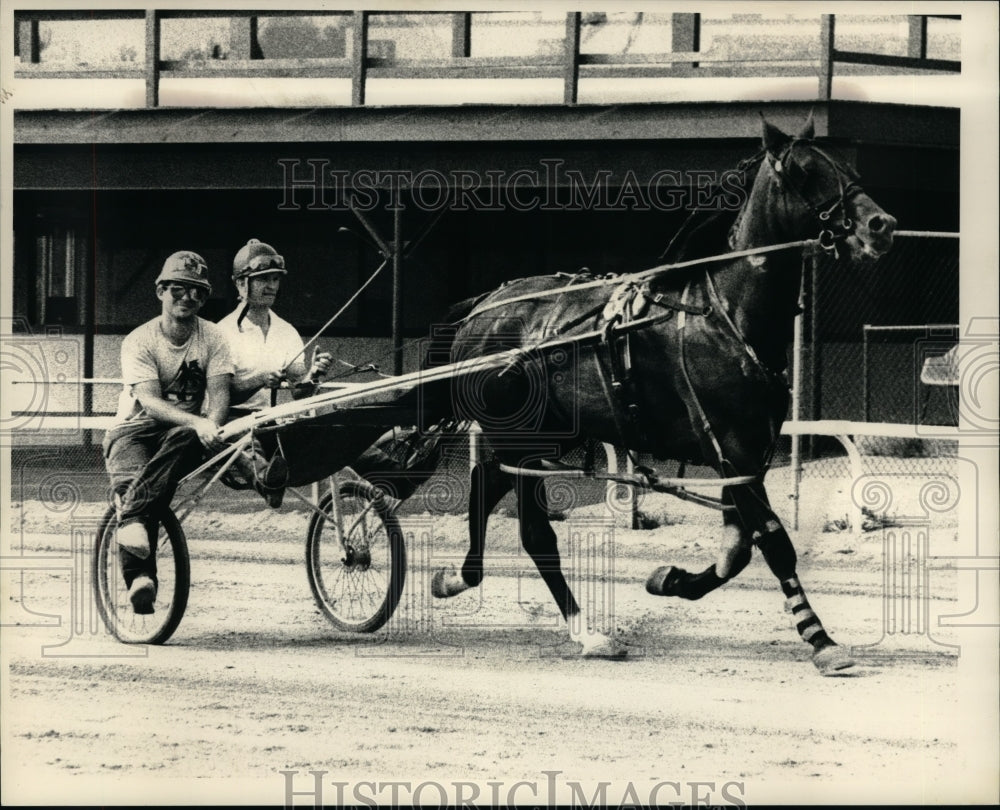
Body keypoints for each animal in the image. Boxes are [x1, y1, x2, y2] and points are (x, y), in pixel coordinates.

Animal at [422, 115, 897, 673]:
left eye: (846, 165)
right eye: (805, 171)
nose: (881, 225)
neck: (727, 315)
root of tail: (484, 307)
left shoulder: (747, 456)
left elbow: (735, 549)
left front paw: (671, 579)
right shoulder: (731, 446)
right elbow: (774, 542)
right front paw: (820, 640)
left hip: (541, 438)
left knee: (484, 483)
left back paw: (457, 578)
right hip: (518, 436)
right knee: (535, 534)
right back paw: (588, 632)